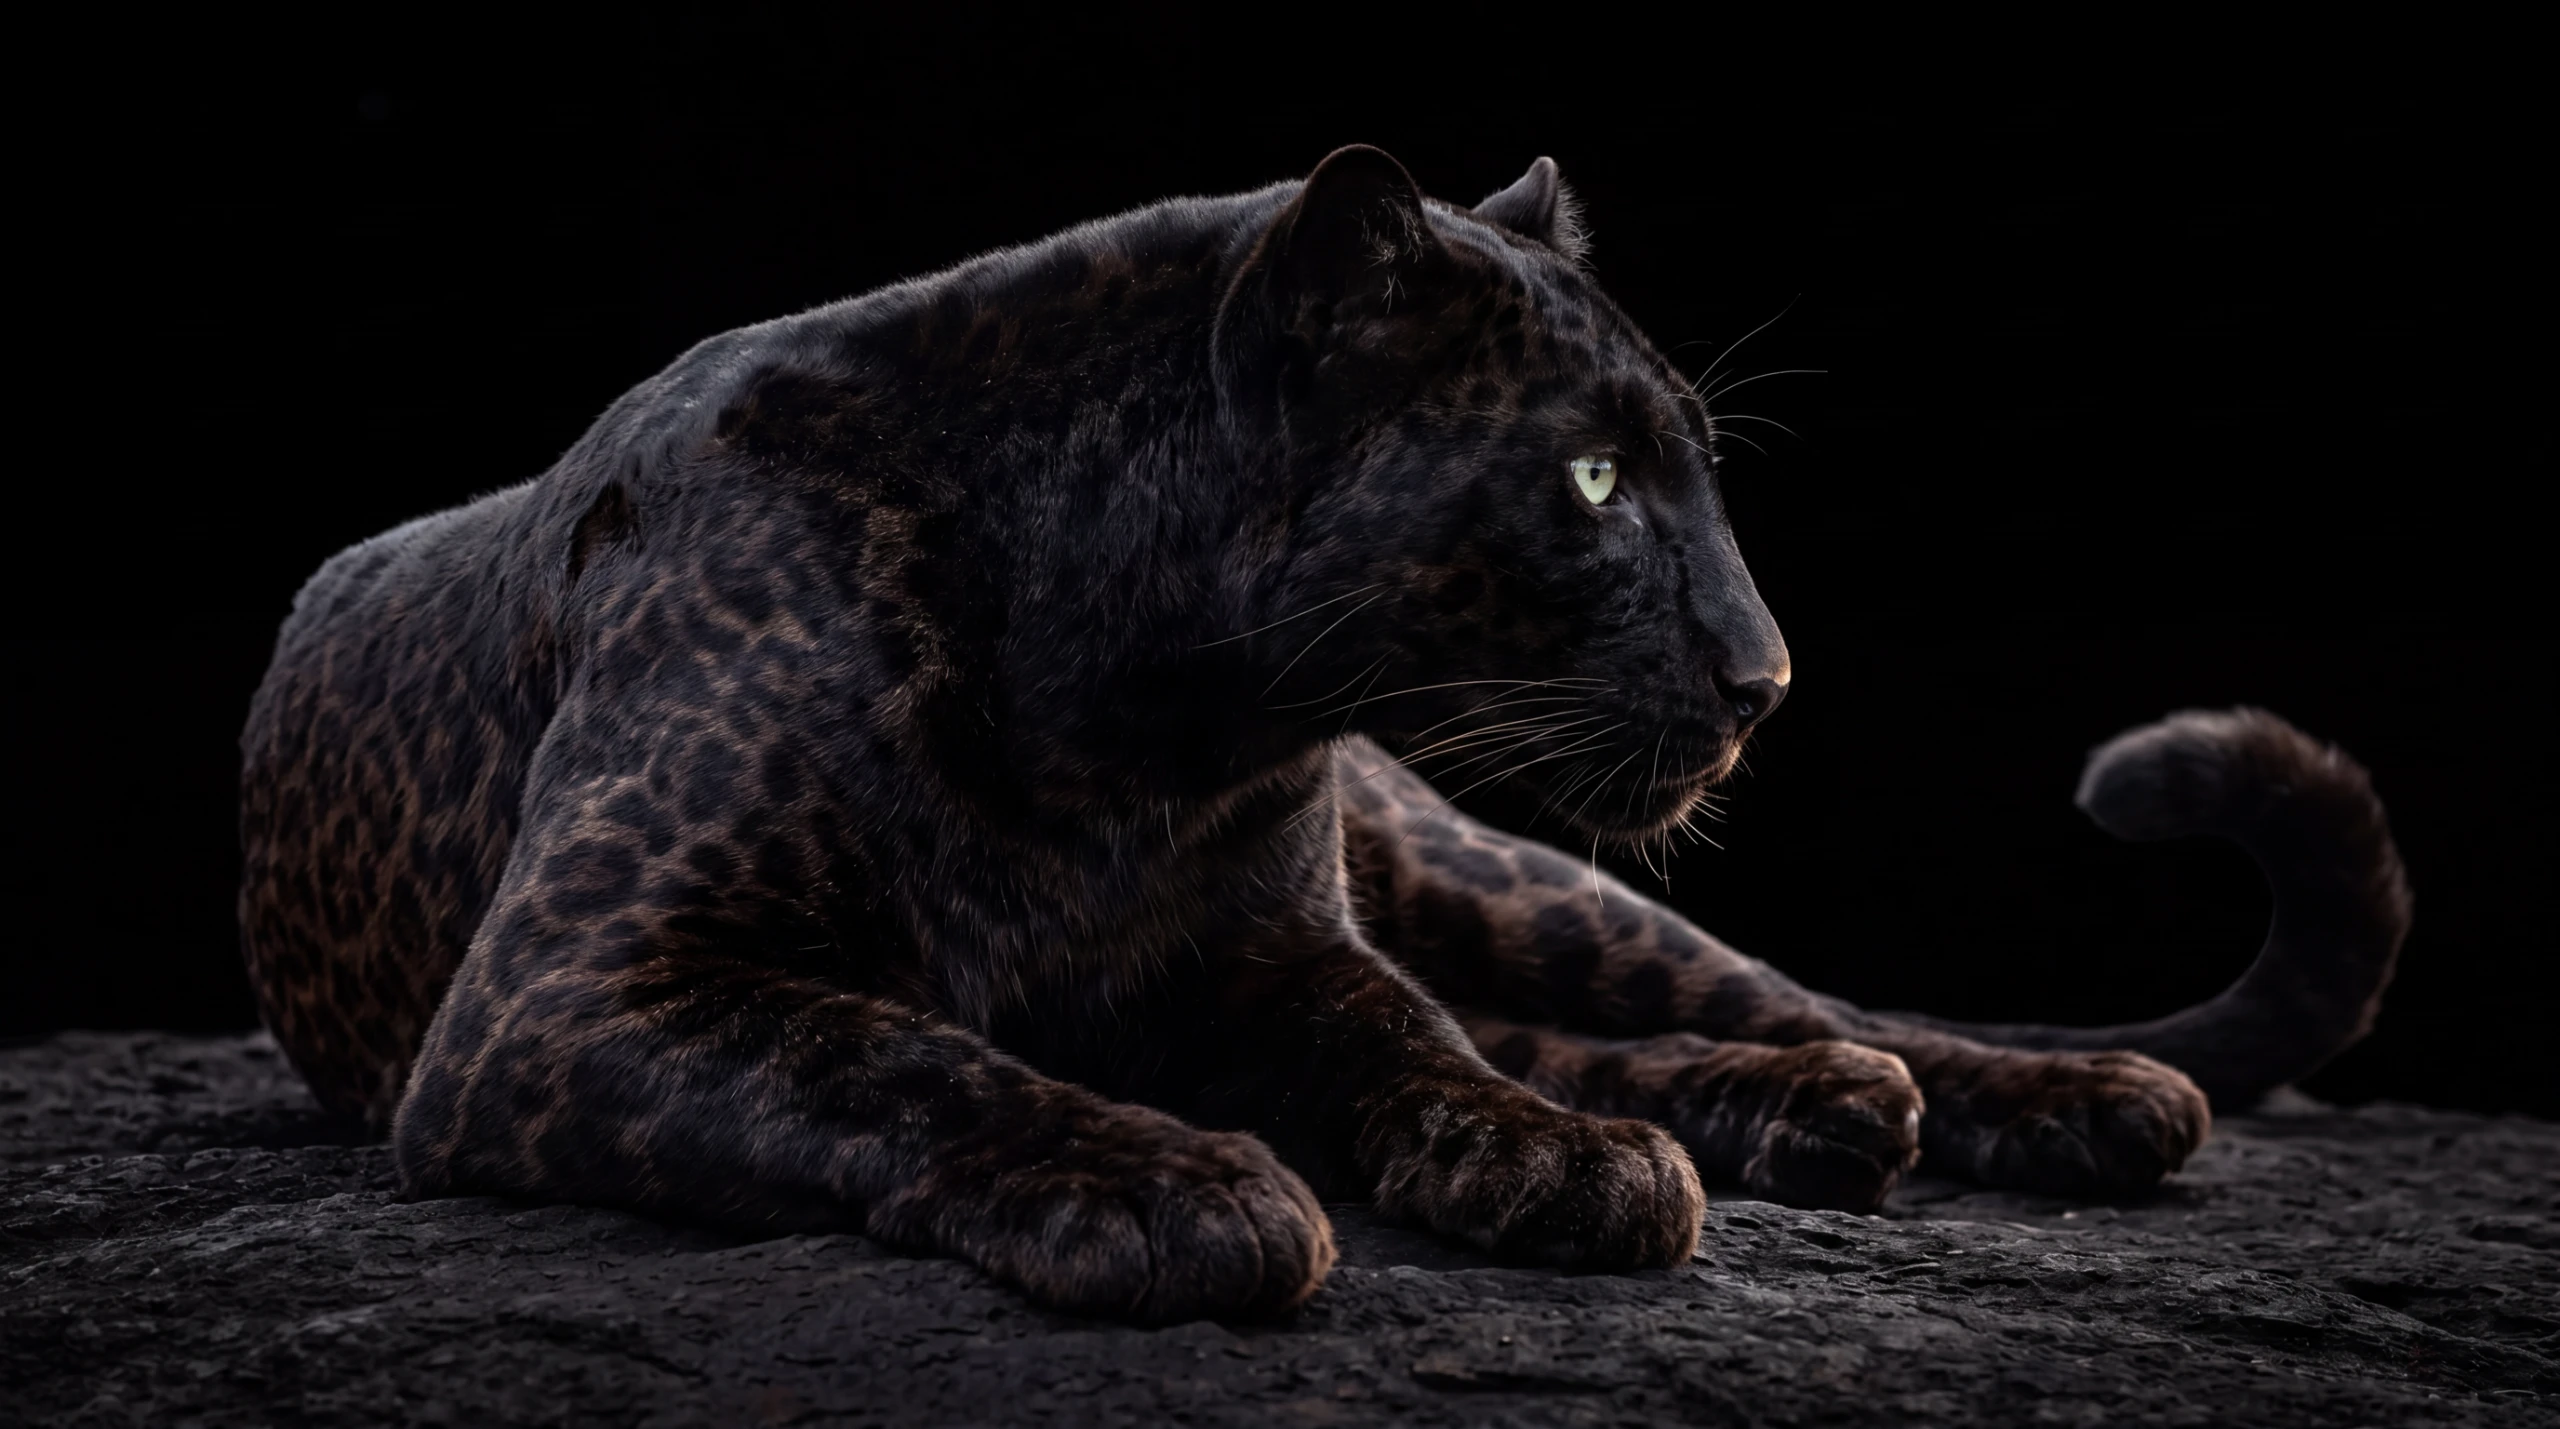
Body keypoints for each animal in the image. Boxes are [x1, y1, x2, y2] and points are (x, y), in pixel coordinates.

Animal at [238, 147, 2412, 1323]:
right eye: (1594, 476)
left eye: (1685, 469)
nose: (1767, 679)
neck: (1132, 718)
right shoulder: (571, 986)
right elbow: (882, 1043)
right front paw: (1166, 1186)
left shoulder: (1277, 942)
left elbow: (1404, 1034)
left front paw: (1542, 1159)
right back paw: (1789, 1113)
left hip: (1515, 875)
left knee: (1769, 999)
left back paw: (2024, 1097)